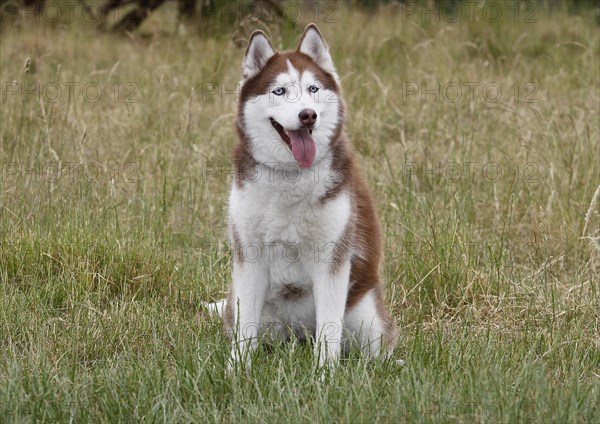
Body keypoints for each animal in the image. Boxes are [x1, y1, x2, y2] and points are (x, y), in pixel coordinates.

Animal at [211, 23, 398, 368]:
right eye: (279, 91)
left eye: (313, 89)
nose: (308, 115)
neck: (290, 177)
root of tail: (298, 335)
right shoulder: (249, 257)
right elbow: (245, 332)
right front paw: (236, 371)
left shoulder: (331, 259)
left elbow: (329, 332)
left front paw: (324, 375)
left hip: (367, 319)